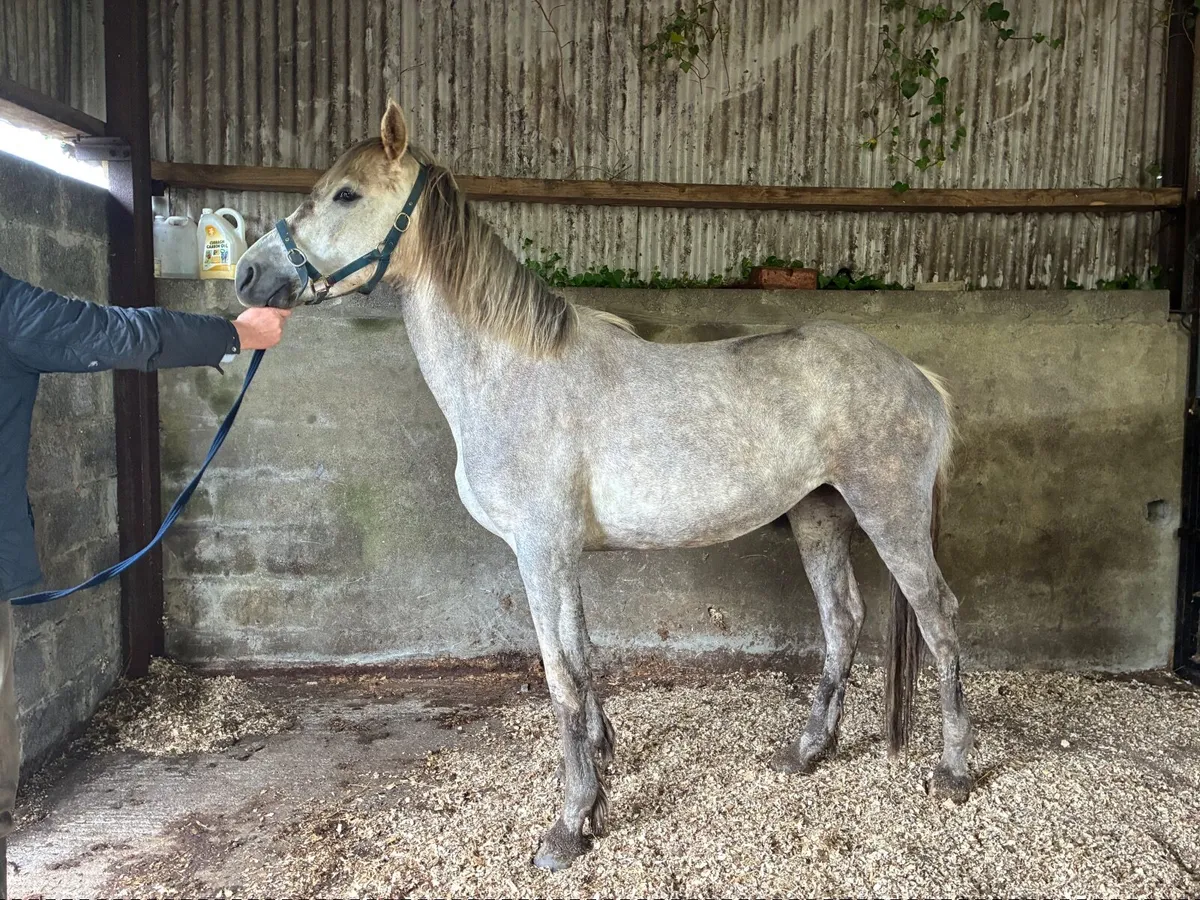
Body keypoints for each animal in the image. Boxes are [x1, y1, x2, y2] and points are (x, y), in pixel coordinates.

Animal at [234, 101, 974, 871]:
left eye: (347, 194)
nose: (248, 275)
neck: (514, 372)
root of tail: (920, 377)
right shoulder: (562, 555)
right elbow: (585, 660)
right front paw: (601, 772)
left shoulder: (540, 550)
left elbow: (562, 676)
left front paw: (569, 824)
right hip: (819, 515)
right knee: (843, 620)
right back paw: (807, 751)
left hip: (889, 515)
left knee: (939, 618)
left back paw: (954, 771)